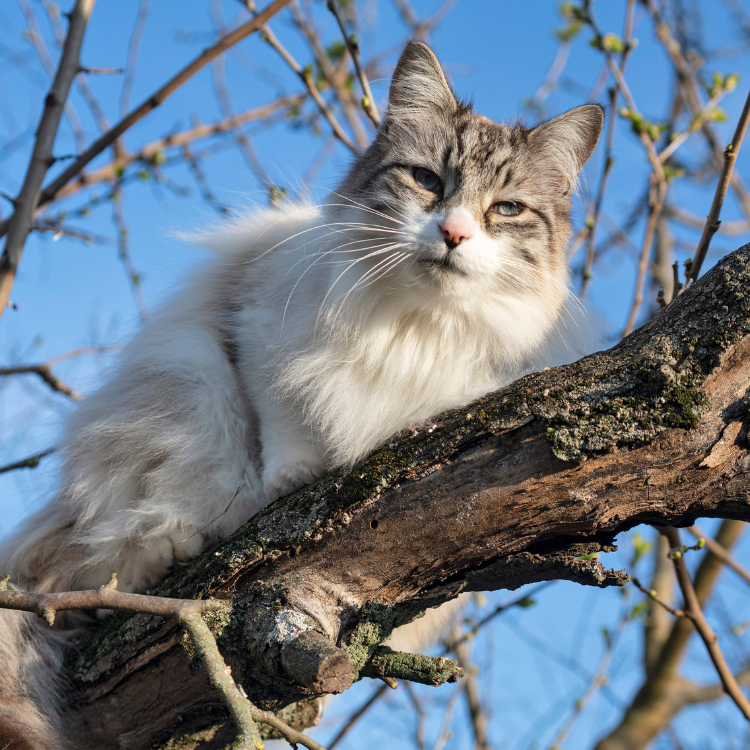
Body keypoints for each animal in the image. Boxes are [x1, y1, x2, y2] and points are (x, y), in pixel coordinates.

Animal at [0, 41, 604, 750]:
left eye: (506, 210)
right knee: (103, 556)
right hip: (184, 390)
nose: (454, 233)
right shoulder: (250, 338)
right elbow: (276, 421)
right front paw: (290, 477)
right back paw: (172, 549)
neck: (415, 325)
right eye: (428, 182)